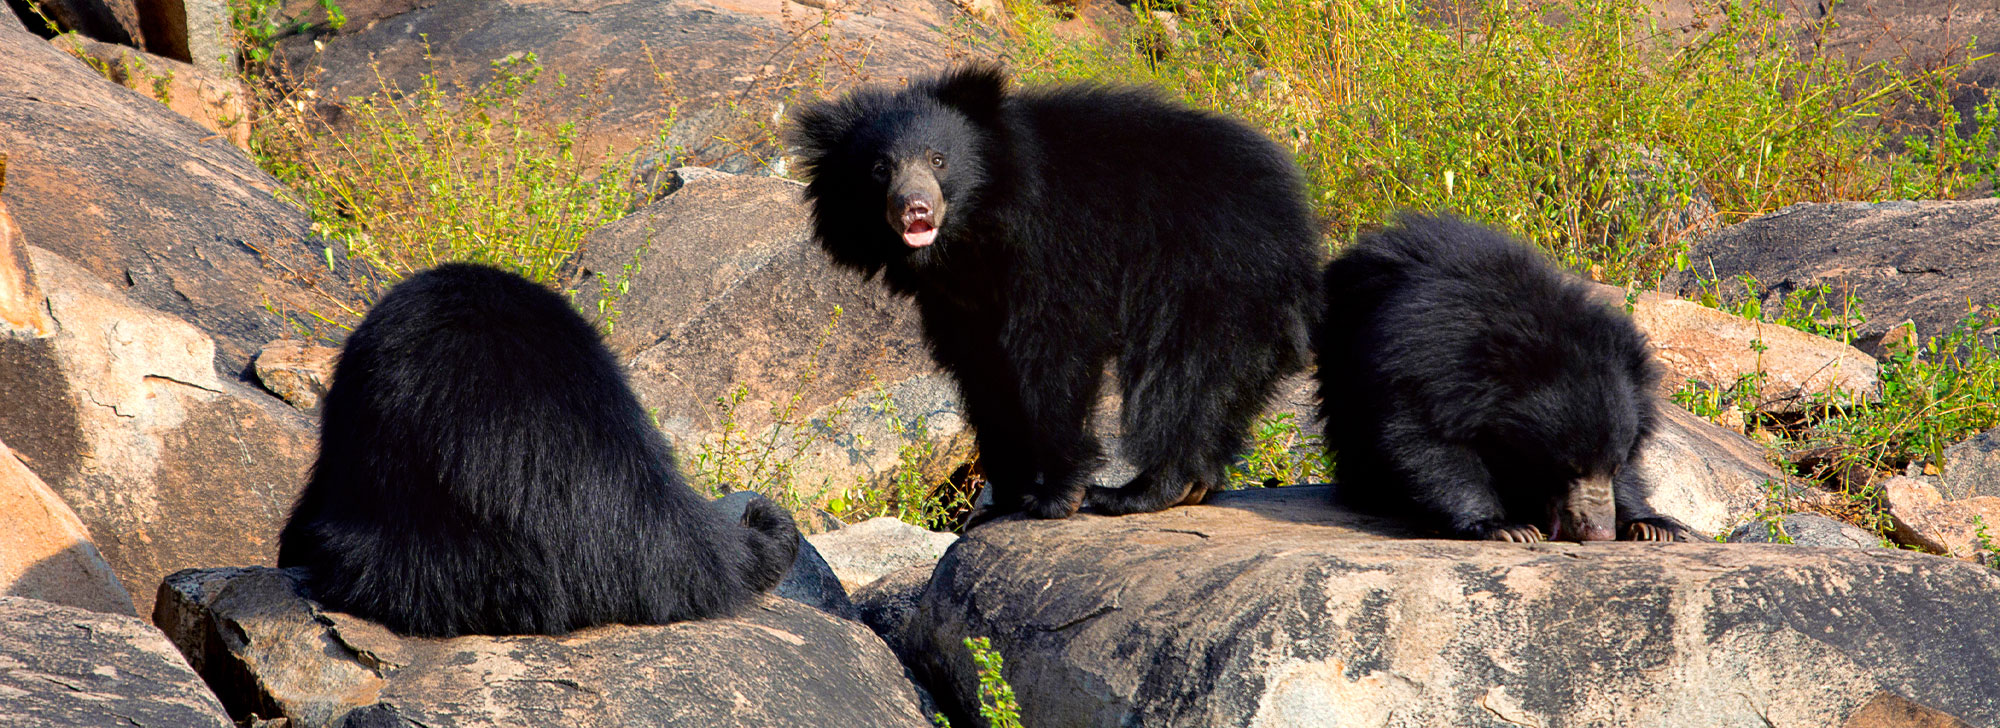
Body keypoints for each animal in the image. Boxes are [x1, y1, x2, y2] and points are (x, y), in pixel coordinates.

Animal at [784, 65, 1328, 520]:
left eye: (938, 160)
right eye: (880, 168)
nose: (914, 207)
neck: (975, 229)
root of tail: (1299, 220)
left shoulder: (1056, 245)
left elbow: (1054, 352)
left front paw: (1054, 496)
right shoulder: (961, 297)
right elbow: (984, 372)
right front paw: (1004, 496)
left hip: (1207, 274)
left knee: (1180, 376)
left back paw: (1138, 491)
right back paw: (1192, 485)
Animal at [1320, 213, 1696, 544]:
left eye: (1614, 468)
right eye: (1568, 468)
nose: (1599, 532)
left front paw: (1651, 524)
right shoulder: (1428, 365)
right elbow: (1426, 442)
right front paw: (1505, 526)